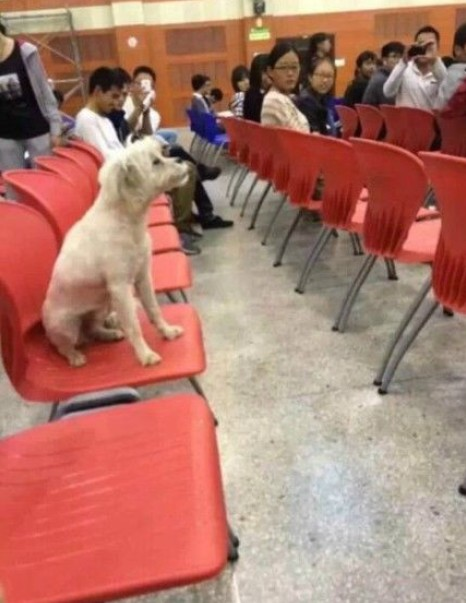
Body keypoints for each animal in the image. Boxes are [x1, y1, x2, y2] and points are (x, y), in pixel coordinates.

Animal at [42, 137, 189, 367]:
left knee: (93, 329)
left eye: (163, 153)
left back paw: (109, 334)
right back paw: (75, 356)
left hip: (101, 306)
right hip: (66, 326)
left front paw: (167, 332)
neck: (127, 219)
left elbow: (153, 309)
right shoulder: (120, 288)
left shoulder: (143, 277)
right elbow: (134, 326)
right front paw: (145, 355)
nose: (180, 159)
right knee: (63, 346)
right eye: (155, 162)